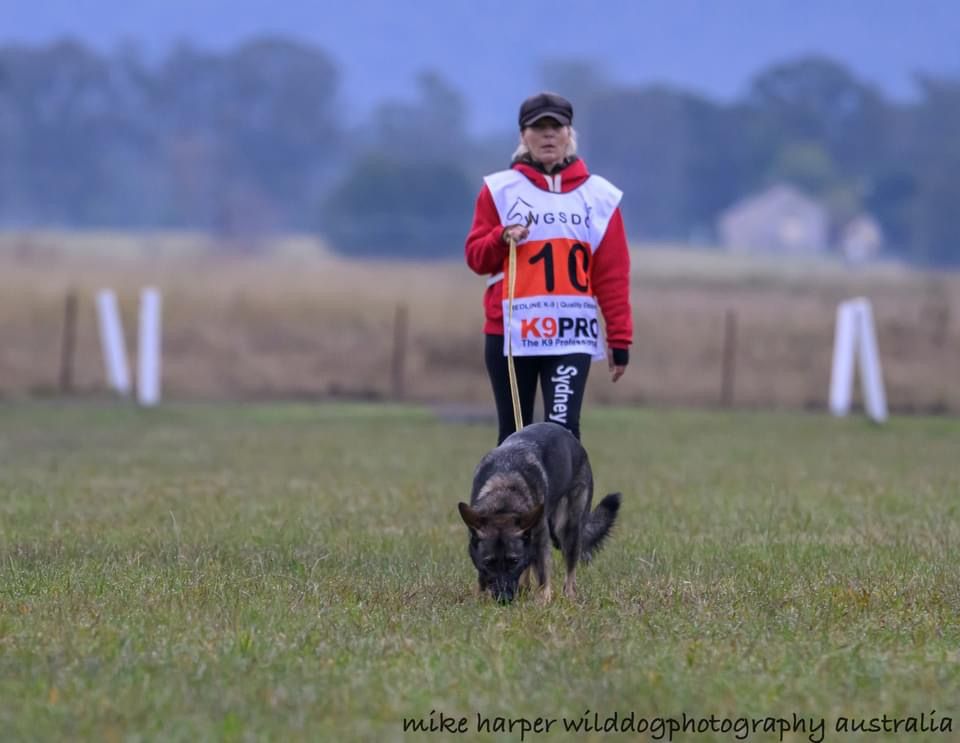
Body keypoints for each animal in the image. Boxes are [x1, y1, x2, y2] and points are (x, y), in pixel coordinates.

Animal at [460, 422, 624, 600]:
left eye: (514, 561)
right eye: (489, 562)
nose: (504, 599)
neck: (504, 495)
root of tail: (572, 438)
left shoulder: (540, 541)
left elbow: (543, 577)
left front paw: (543, 601)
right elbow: (483, 576)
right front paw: (480, 596)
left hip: (568, 528)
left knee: (570, 570)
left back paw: (569, 596)